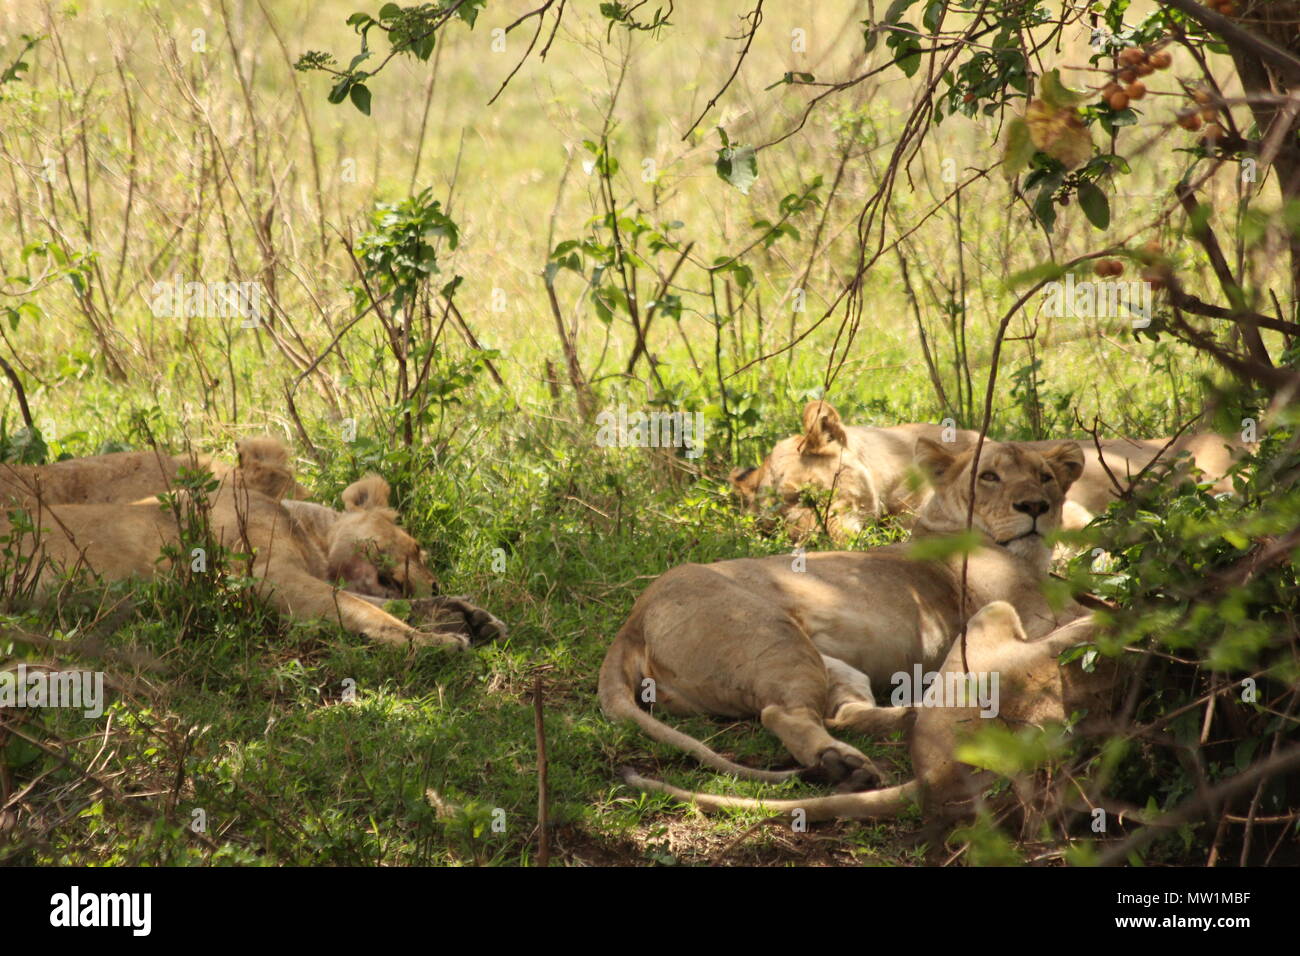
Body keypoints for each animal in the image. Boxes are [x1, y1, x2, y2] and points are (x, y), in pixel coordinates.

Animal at [598, 437, 1086, 790]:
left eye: (1045, 478)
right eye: (989, 476)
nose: (1035, 507)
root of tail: (633, 618)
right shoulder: (1036, 615)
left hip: (830, 664)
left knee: (844, 713)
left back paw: (910, 718)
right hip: (776, 637)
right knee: (781, 714)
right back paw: (843, 765)